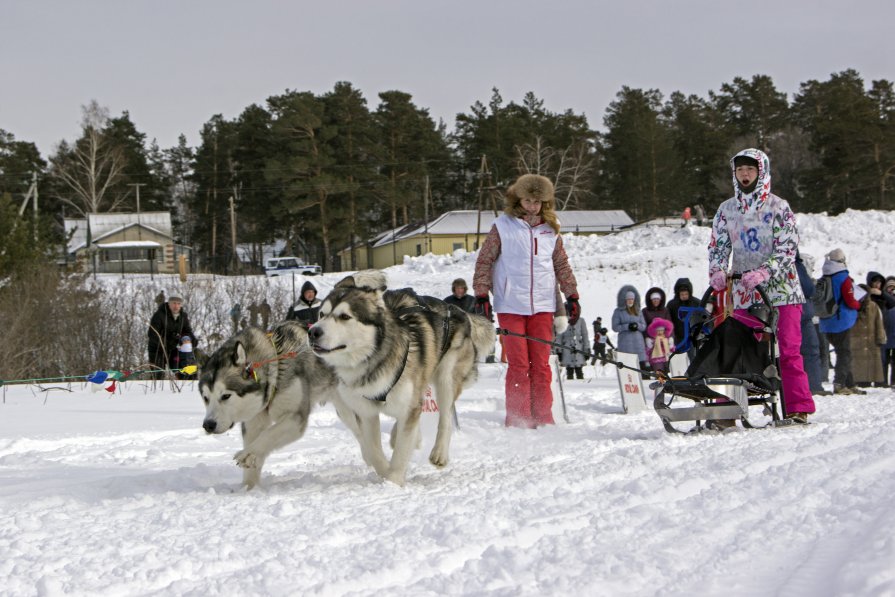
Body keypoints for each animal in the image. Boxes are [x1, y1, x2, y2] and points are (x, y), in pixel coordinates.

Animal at [201, 324, 344, 486]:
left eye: (225, 396)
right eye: (205, 398)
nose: (208, 425)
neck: (278, 366)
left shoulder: (294, 417)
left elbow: (268, 434)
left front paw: (250, 454)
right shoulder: (254, 418)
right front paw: (249, 487)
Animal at [306, 270, 490, 484]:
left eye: (344, 316)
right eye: (321, 314)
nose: (313, 331)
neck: (372, 360)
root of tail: (457, 309)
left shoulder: (408, 404)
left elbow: (401, 452)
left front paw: (393, 482)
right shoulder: (366, 411)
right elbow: (373, 450)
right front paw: (384, 471)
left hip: (446, 377)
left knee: (444, 417)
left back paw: (439, 453)